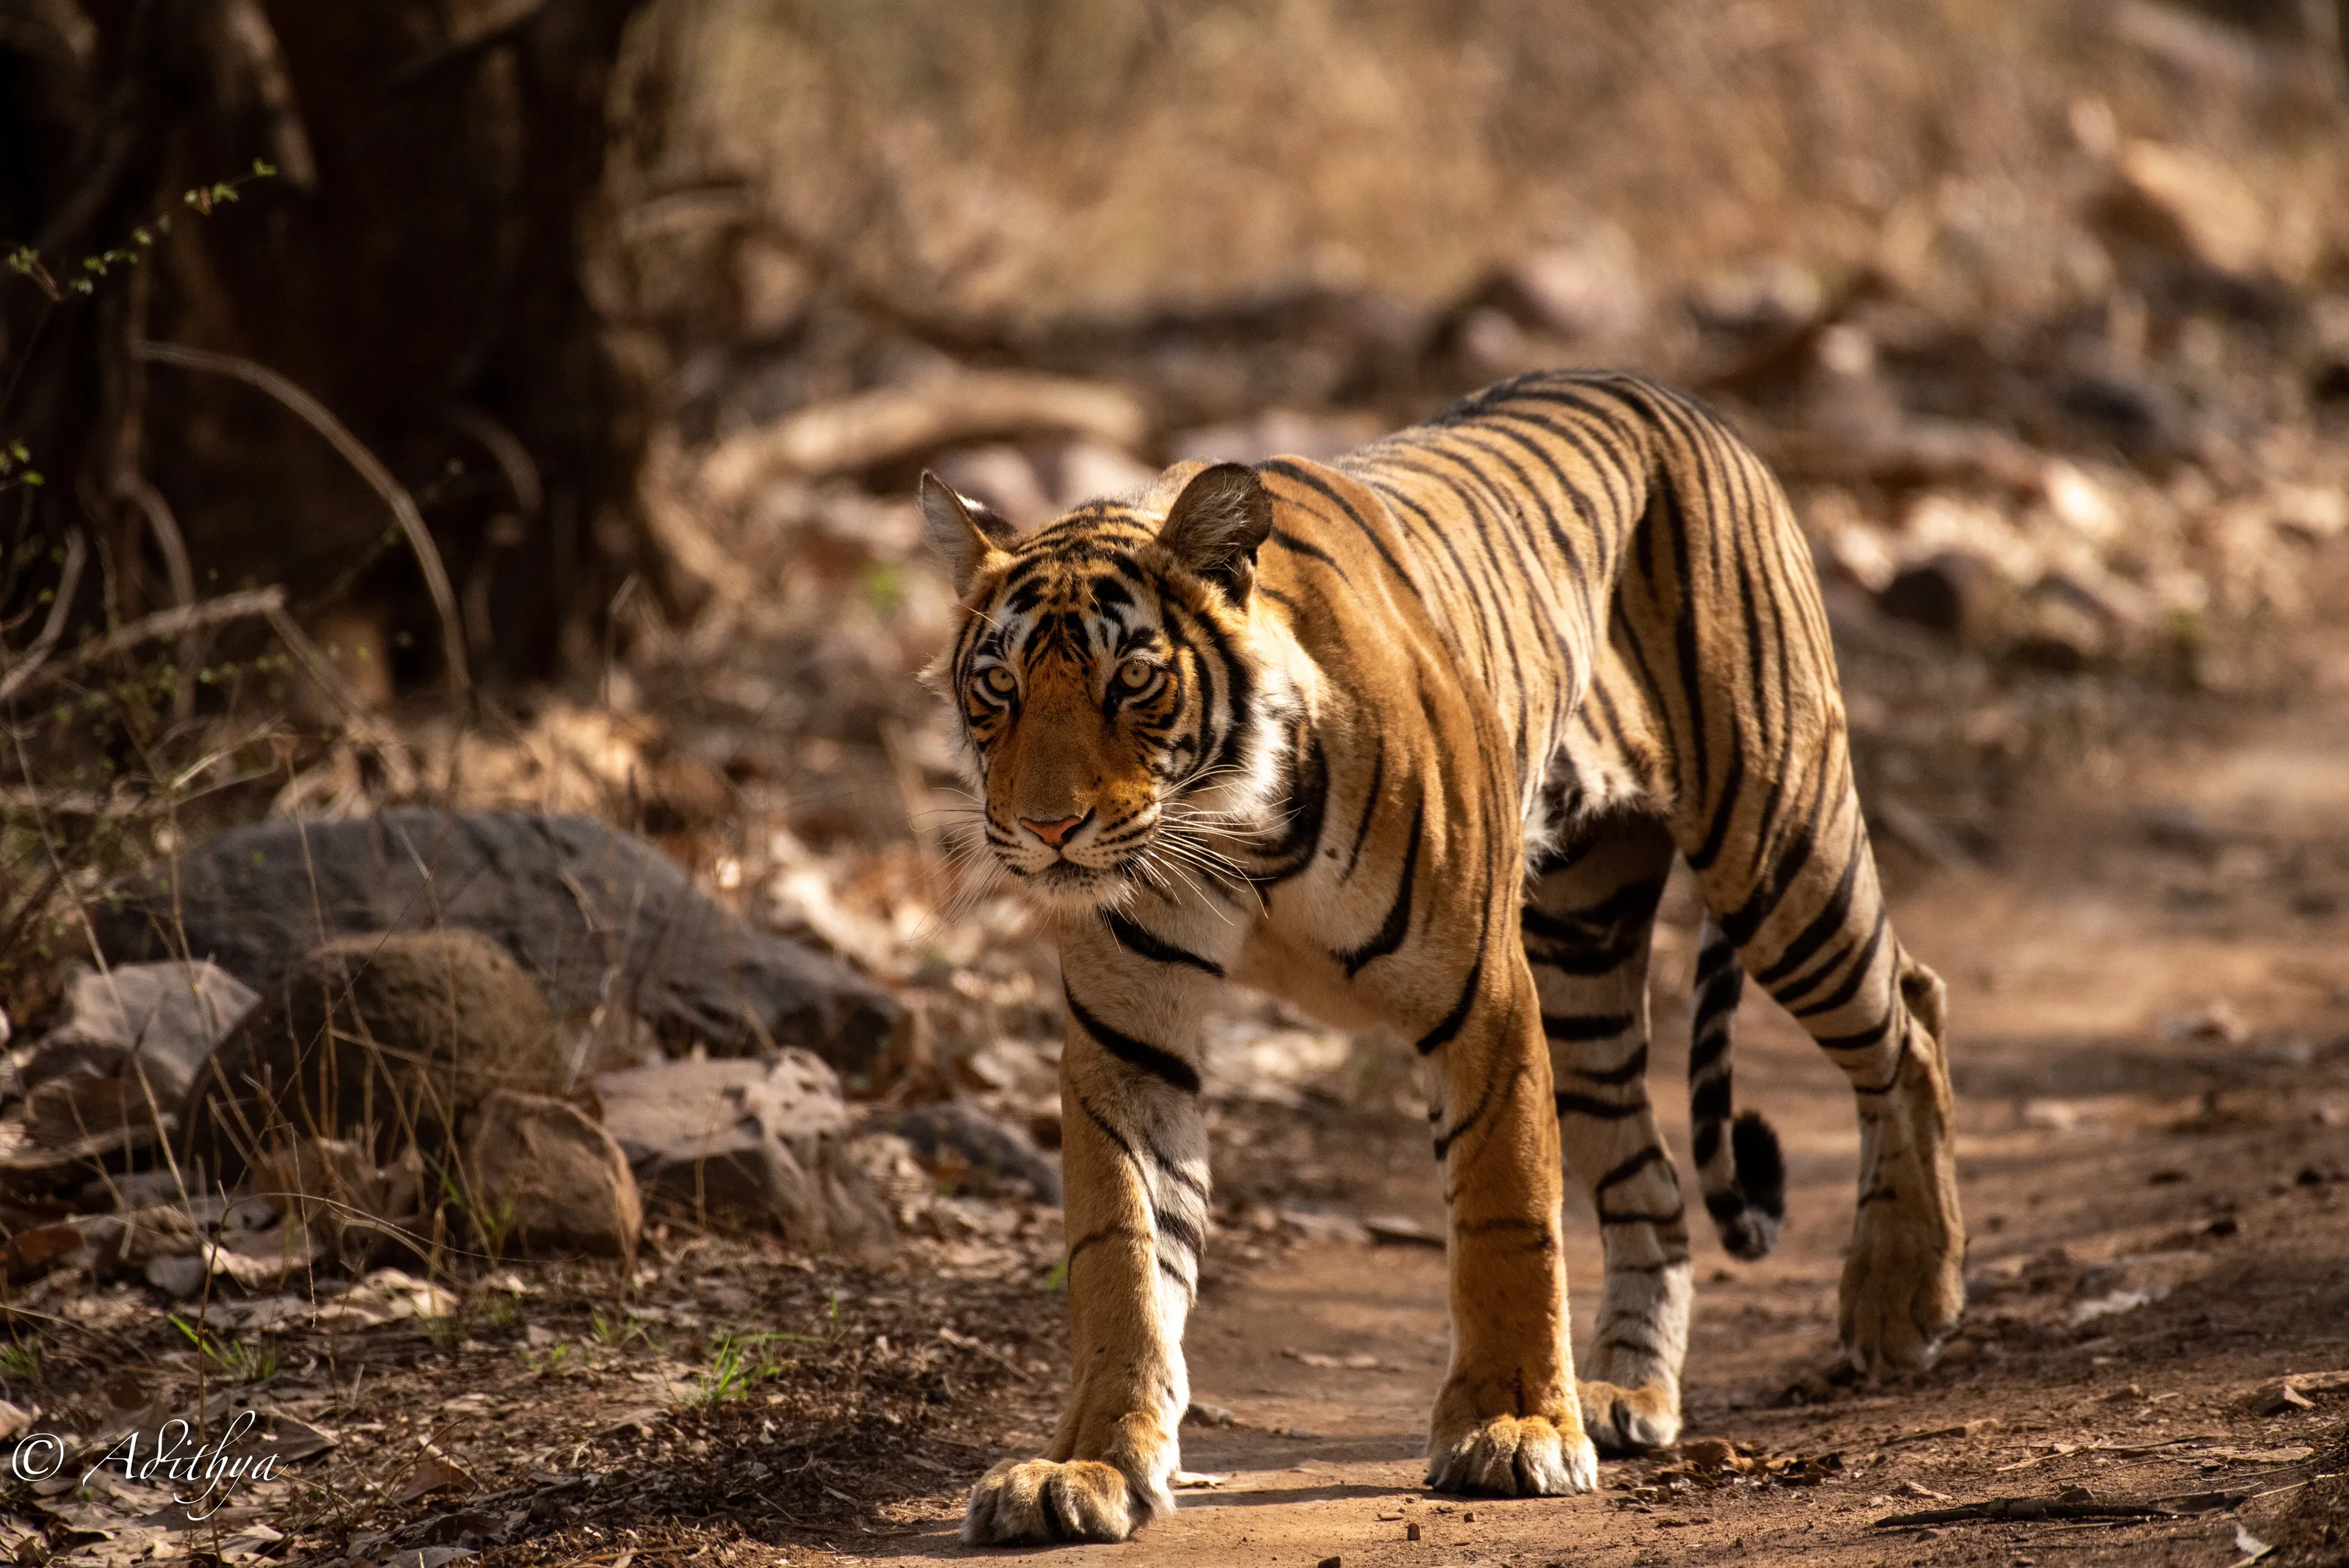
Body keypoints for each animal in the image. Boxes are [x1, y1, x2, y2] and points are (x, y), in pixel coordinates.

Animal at [920, 369, 1965, 1546]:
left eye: (1132, 682)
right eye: (999, 688)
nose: (1047, 829)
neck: (1230, 832)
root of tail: (1675, 396)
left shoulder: (1482, 996)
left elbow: (1507, 1213)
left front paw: (1515, 1430)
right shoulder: (1127, 1037)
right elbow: (1121, 1254)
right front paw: (1087, 1466)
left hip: (1776, 843)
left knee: (1910, 1013)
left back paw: (1900, 1297)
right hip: (1585, 953)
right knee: (1650, 1178)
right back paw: (1626, 1392)